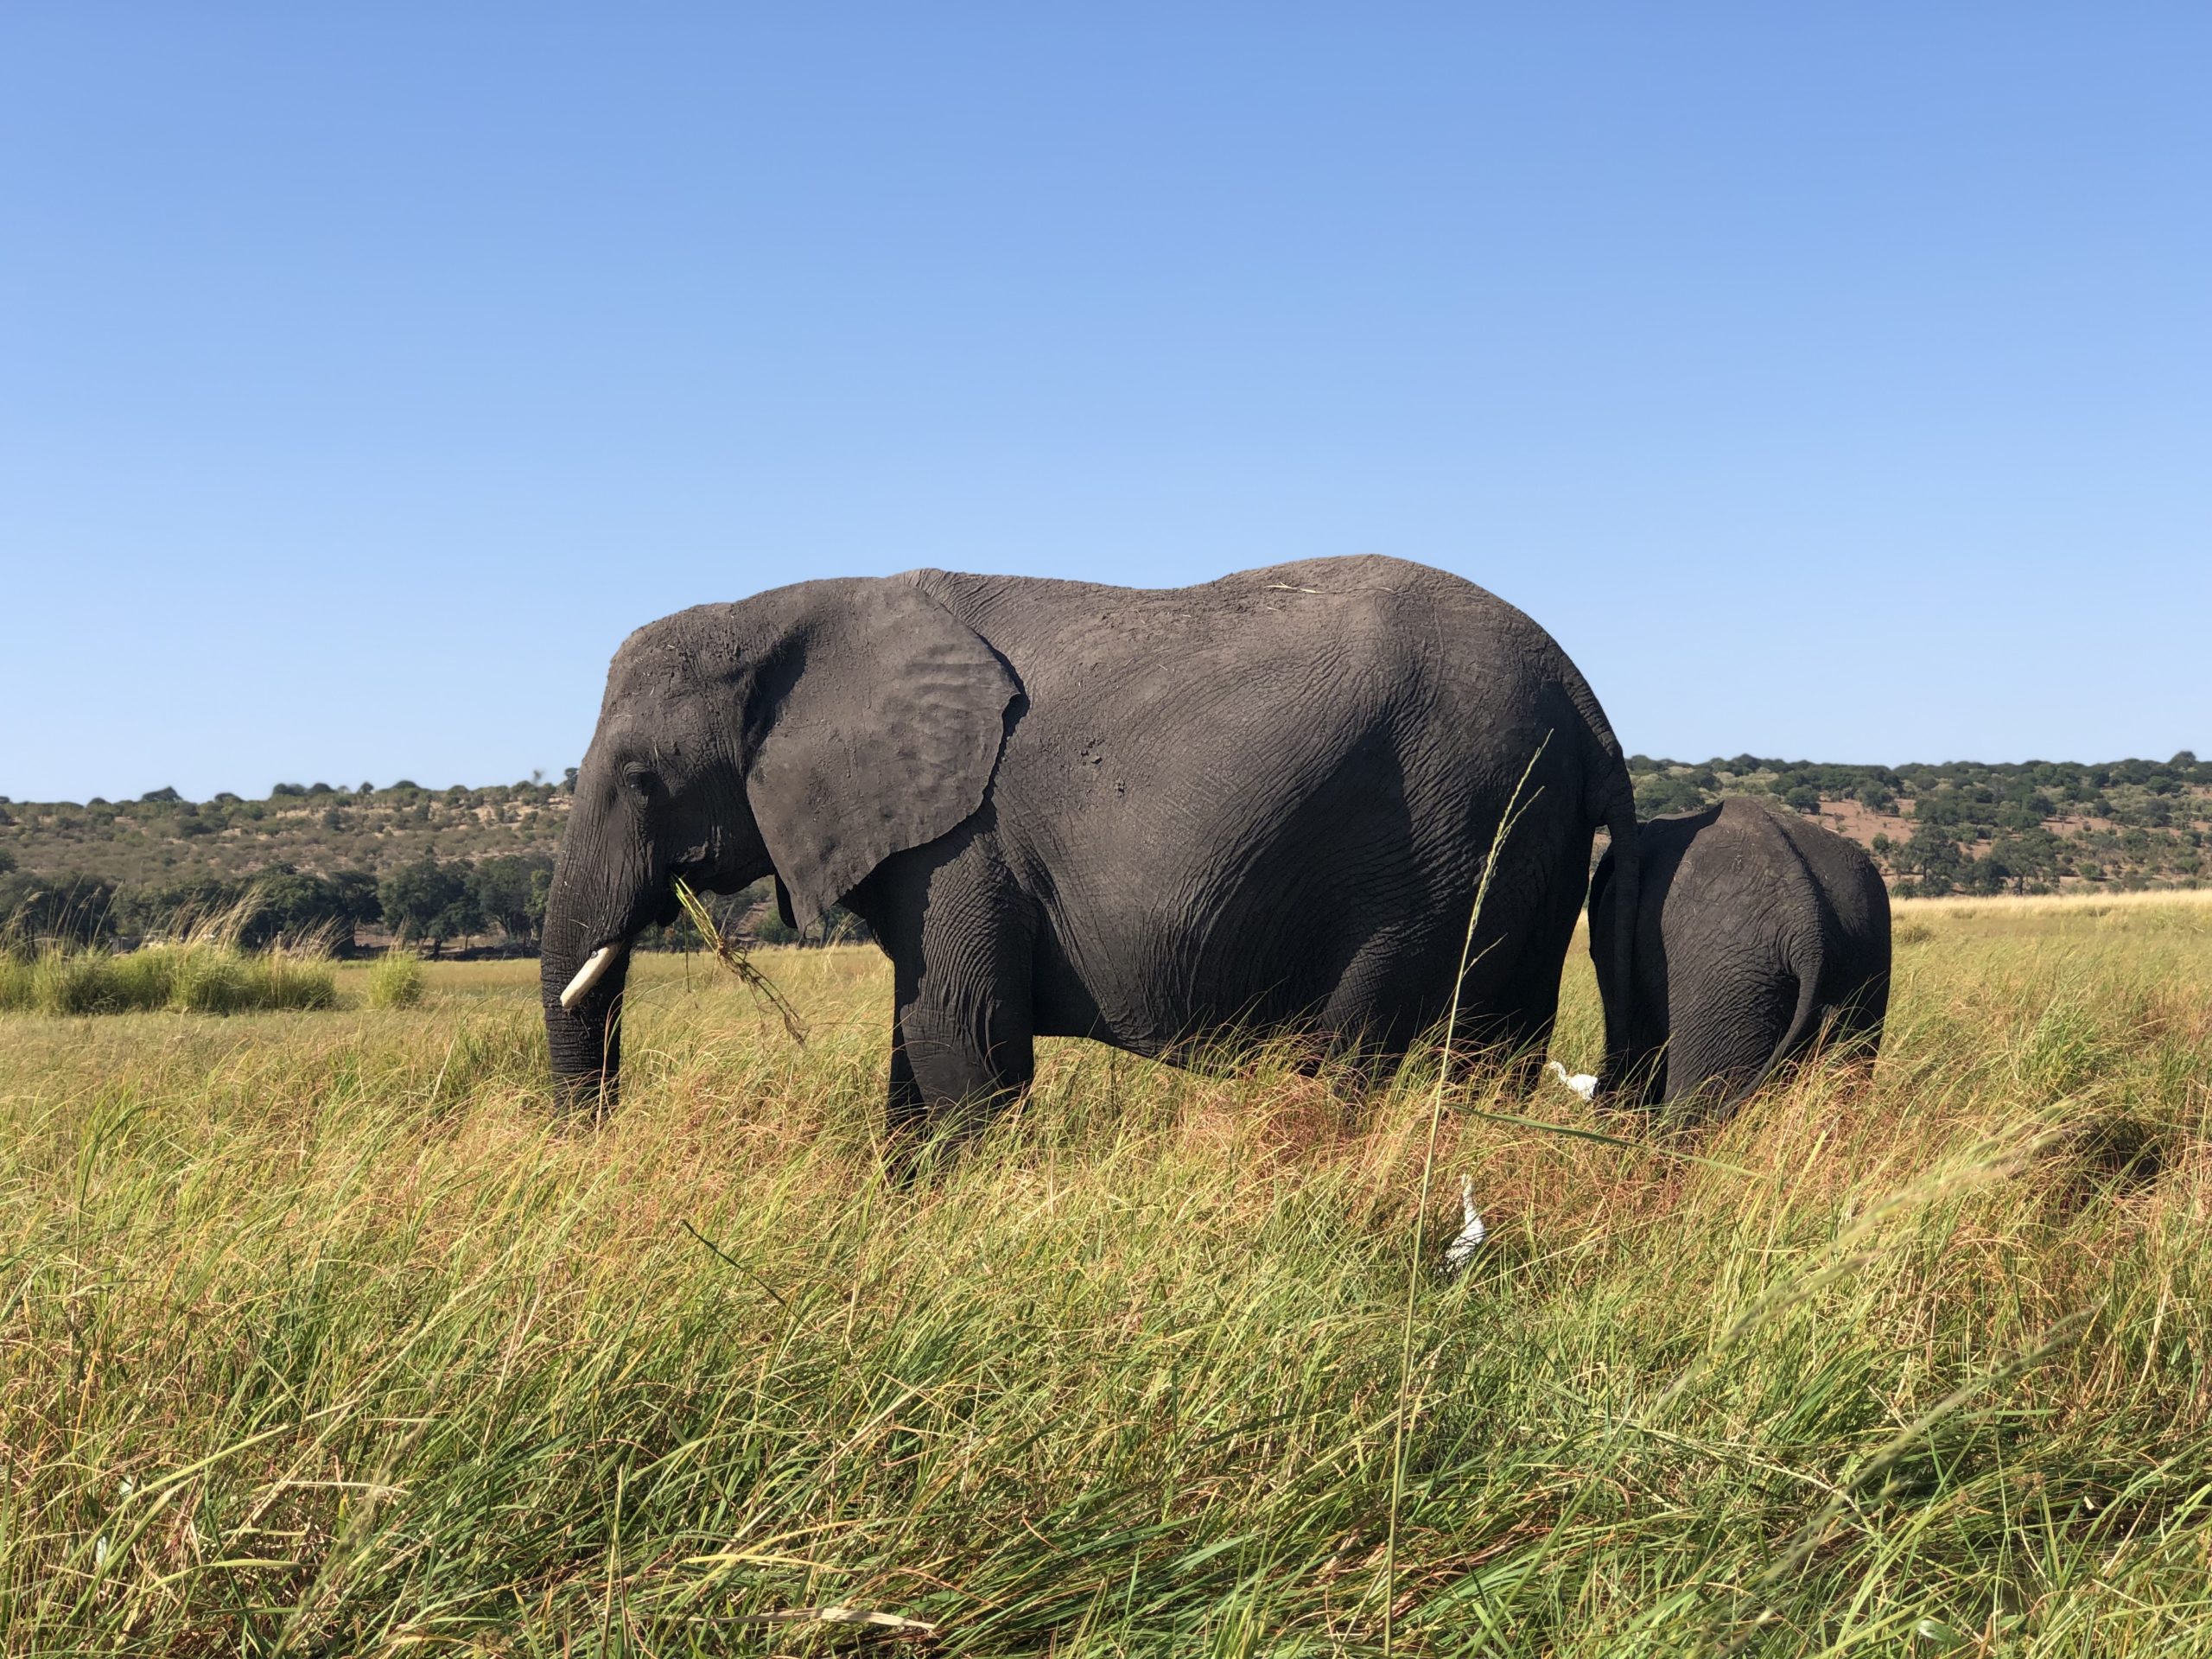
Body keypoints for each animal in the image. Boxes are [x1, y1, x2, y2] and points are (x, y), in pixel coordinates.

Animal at [537, 559, 1645, 1141]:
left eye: (641, 779)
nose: (598, 1153)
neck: (791, 609)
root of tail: (1582, 695)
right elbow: (915, 1049)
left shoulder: (967, 838)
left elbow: (959, 1039)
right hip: (1523, 840)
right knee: (1492, 1050)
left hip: (1452, 836)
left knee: (1366, 1047)